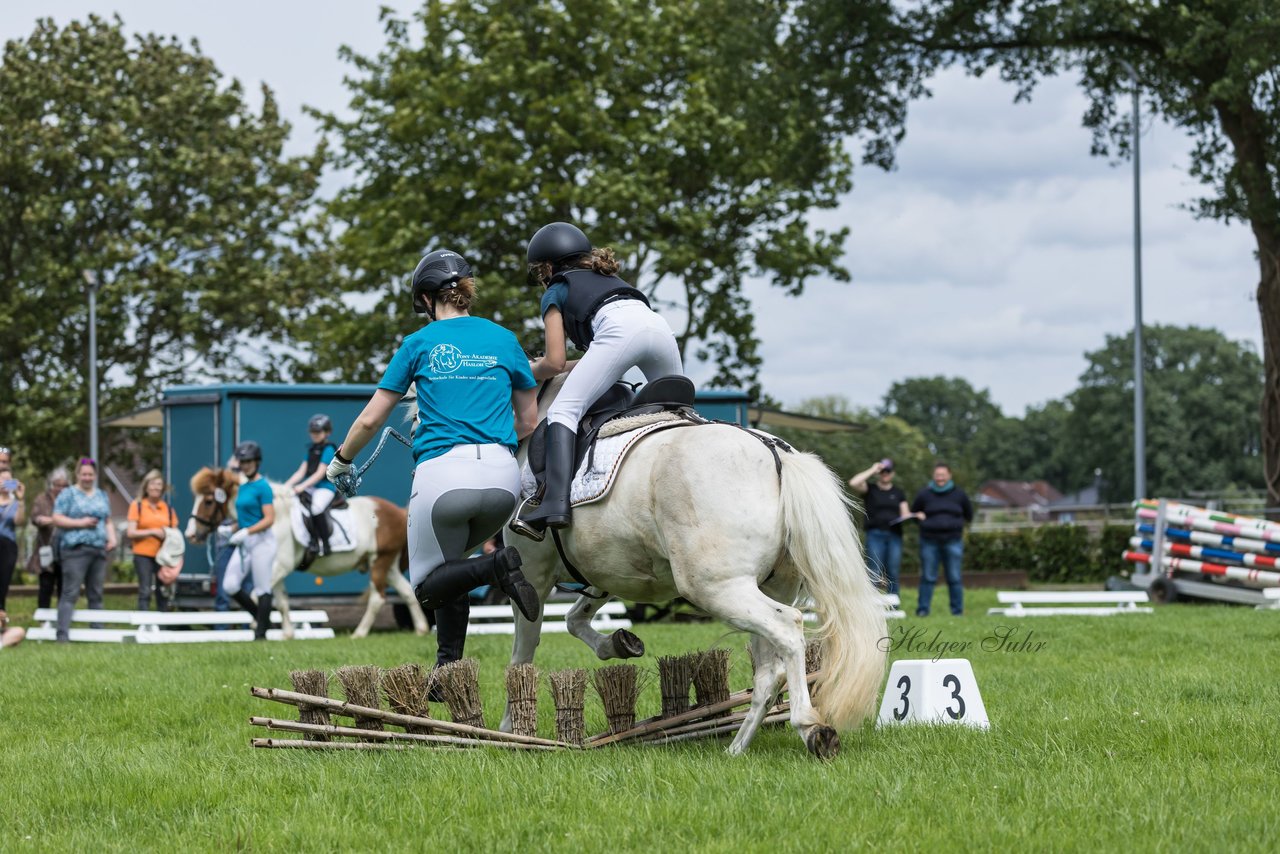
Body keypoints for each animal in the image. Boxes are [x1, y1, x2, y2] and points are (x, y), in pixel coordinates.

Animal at [185, 468, 427, 640]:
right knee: (406, 592)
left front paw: (260, 625)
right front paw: (287, 633)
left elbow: (257, 594)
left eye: (208, 501)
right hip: (389, 565)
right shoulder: (277, 570)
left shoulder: (279, 566)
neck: (277, 518)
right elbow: (281, 601)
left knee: (378, 599)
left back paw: (359, 633)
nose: (191, 534)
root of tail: (399, 512)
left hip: (380, 562)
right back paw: (421, 629)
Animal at [501, 376, 890, 757]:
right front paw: (618, 643)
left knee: (788, 628)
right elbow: (573, 619)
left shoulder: (532, 576)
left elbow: (523, 652)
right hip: (765, 587)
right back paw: (735, 749)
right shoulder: (605, 573)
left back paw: (809, 727)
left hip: (715, 587)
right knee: (768, 669)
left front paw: (511, 730)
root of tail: (774, 452)